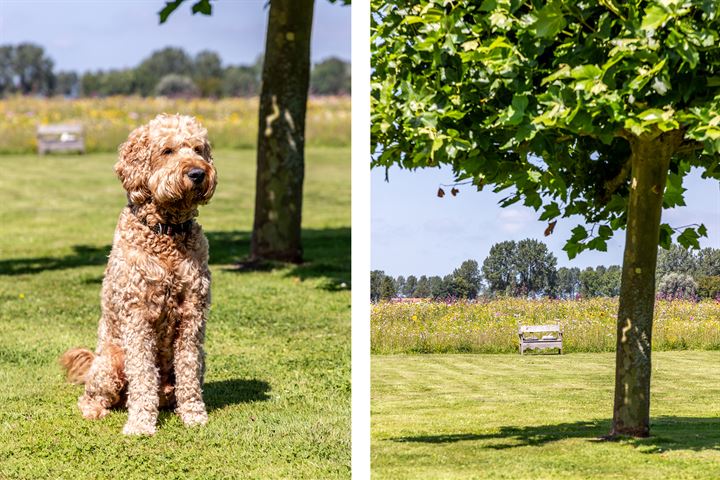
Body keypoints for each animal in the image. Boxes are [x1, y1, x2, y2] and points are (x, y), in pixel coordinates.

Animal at [59, 114, 217, 436]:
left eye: (198, 149)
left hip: (201, 360)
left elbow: (188, 370)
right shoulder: (138, 314)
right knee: (93, 395)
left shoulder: (193, 314)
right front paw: (141, 424)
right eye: (167, 150)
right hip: (108, 363)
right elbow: (143, 373)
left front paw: (194, 415)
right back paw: (96, 410)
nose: (198, 173)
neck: (166, 232)